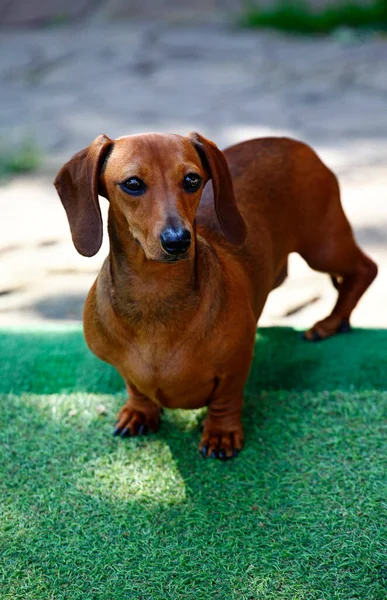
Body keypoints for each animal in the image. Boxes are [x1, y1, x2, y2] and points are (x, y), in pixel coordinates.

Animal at [55, 132, 378, 460]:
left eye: (192, 179)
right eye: (132, 183)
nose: (178, 241)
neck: (154, 294)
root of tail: (291, 141)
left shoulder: (236, 363)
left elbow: (227, 396)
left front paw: (221, 433)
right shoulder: (122, 366)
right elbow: (134, 385)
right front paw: (139, 411)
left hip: (323, 247)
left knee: (366, 269)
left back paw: (331, 322)